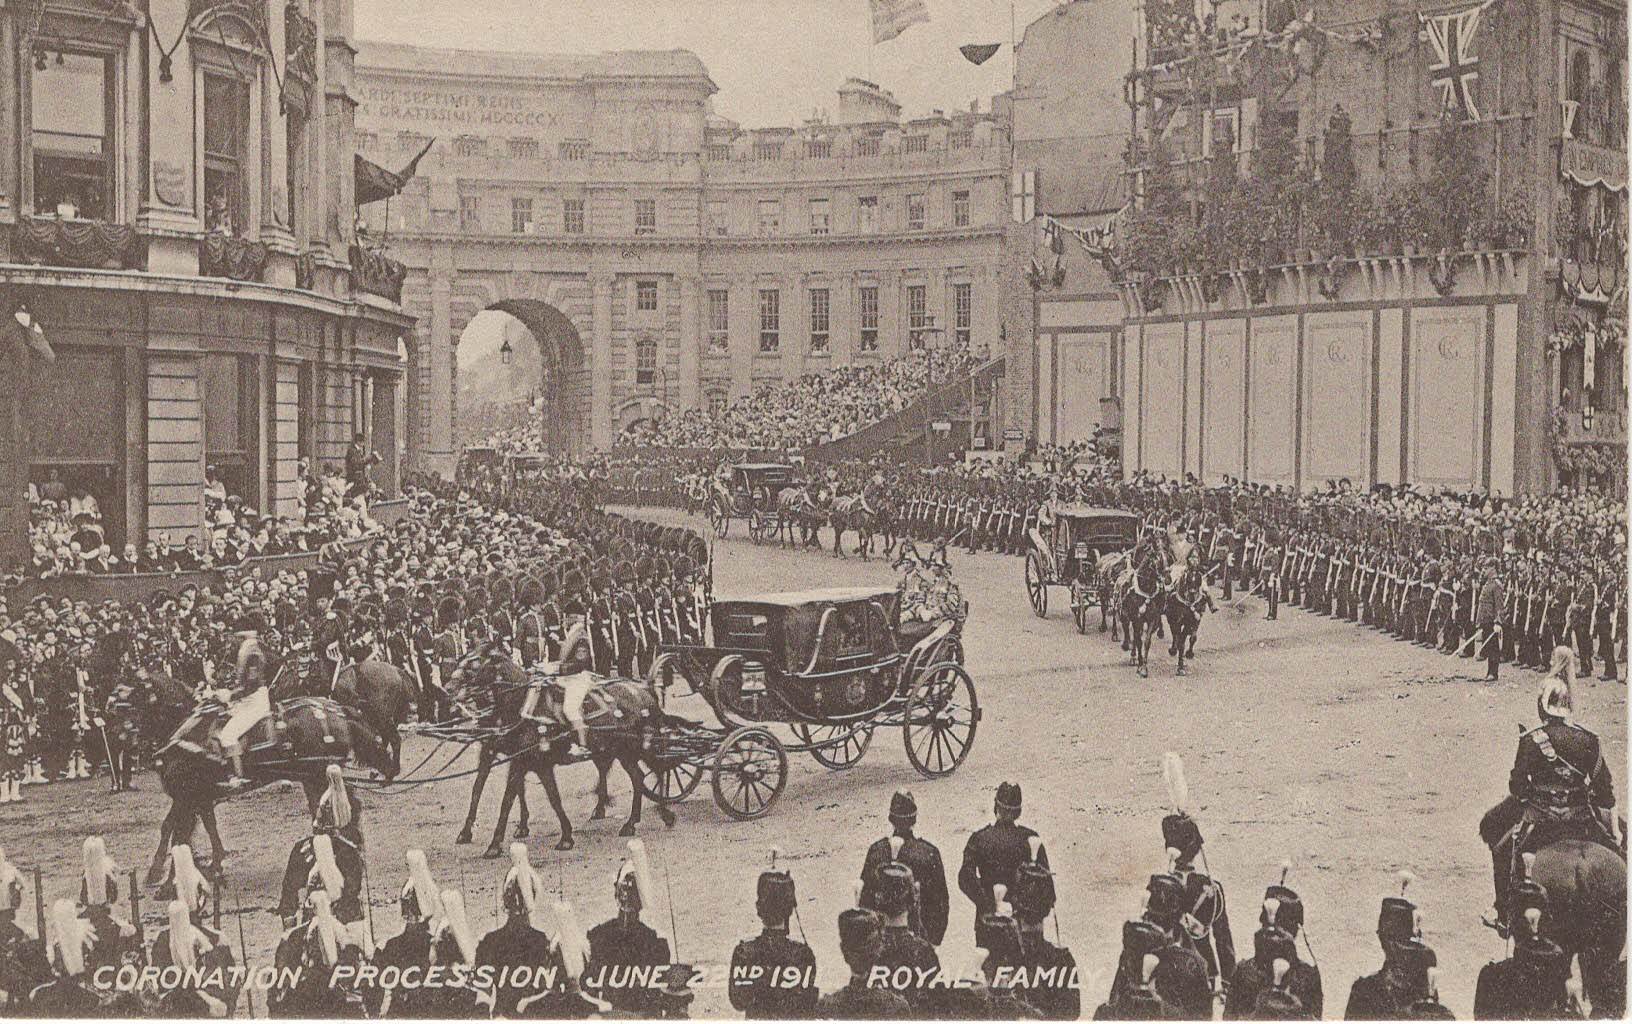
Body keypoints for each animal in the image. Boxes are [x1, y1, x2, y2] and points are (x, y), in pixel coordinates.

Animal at [448, 644, 675, 856]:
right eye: (462, 660)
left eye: (473, 665)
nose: (449, 687)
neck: (523, 706)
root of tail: (645, 687)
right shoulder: (513, 758)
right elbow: (486, 790)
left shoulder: (523, 761)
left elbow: (510, 799)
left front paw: (495, 844)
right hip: (622, 751)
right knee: (638, 776)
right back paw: (636, 819)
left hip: (639, 747)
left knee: (658, 768)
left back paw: (661, 812)